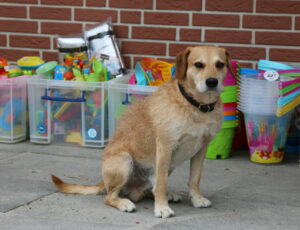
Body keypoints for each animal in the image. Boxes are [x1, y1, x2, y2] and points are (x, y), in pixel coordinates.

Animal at [51, 45, 232, 218]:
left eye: (220, 64)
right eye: (198, 65)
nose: (212, 82)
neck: (196, 106)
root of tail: (103, 181)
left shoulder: (201, 149)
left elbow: (194, 179)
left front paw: (197, 199)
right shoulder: (165, 147)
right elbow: (162, 185)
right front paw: (162, 209)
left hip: (167, 166)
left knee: (149, 190)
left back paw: (167, 195)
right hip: (125, 161)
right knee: (110, 196)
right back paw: (124, 203)